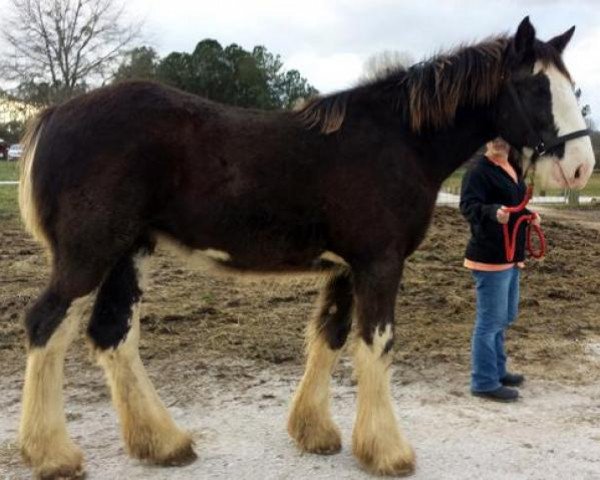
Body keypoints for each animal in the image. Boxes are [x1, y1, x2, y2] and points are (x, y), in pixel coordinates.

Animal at [15, 16, 596, 478]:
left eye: (571, 87)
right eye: (535, 88)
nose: (579, 167)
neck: (399, 142)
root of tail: (53, 116)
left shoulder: (346, 268)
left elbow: (331, 338)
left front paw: (316, 432)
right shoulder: (379, 264)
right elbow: (376, 345)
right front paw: (388, 451)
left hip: (129, 252)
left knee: (113, 334)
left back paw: (163, 443)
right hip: (87, 255)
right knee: (47, 324)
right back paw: (52, 454)